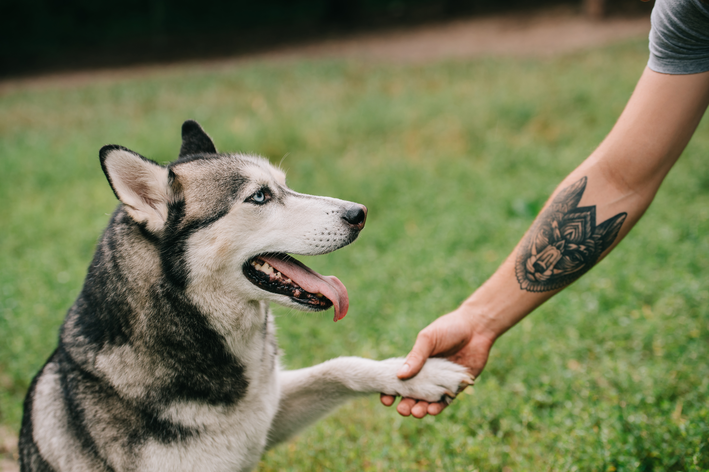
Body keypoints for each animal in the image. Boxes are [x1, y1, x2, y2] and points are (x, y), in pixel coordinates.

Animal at [18, 120, 470, 470]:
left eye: (285, 186)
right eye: (259, 196)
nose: (359, 213)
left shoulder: (265, 416)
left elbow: (339, 366)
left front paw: (416, 375)